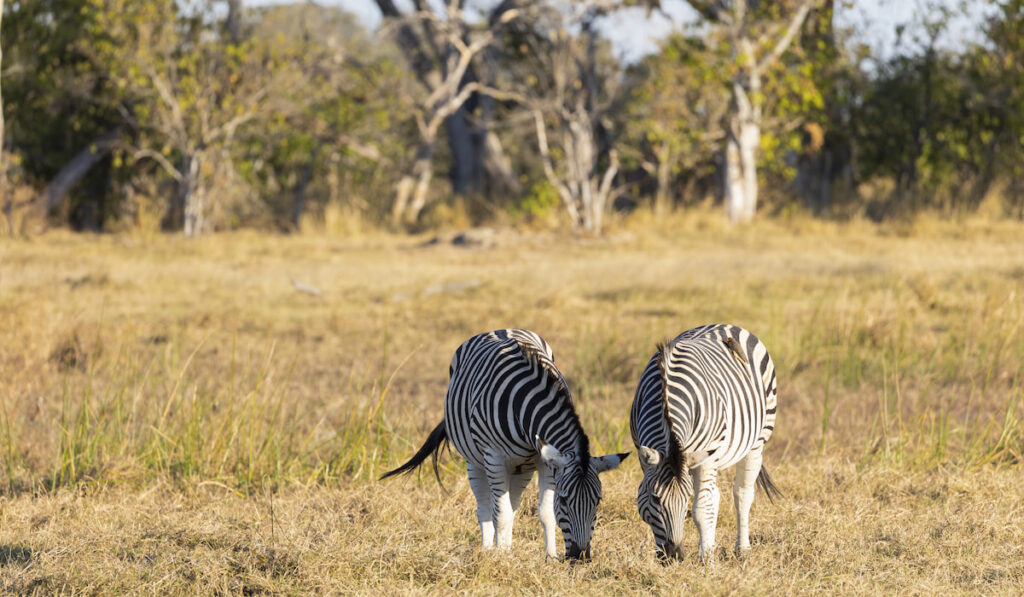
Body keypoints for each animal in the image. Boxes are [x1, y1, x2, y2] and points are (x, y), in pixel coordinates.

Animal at [380, 331, 626, 561]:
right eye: (565, 500)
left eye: (598, 500)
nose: (580, 556)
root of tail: (500, 330)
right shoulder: (495, 458)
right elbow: (500, 514)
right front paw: (501, 559)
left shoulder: (545, 461)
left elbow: (544, 513)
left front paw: (549, 557)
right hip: (476, 462)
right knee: (486, 507)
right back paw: (489, 550)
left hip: (521, 468)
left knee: (511, 504)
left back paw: (505, 546)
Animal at [626, 325, 778, 561]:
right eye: (655, 498)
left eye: (685, 499)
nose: (674, 555)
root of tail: (724, 324)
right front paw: (707, 553)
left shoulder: (706, 456)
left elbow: (700, 509)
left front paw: (707, 562)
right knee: (714, 496)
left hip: (755, 441)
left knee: (741, 494)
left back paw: (741, 550)